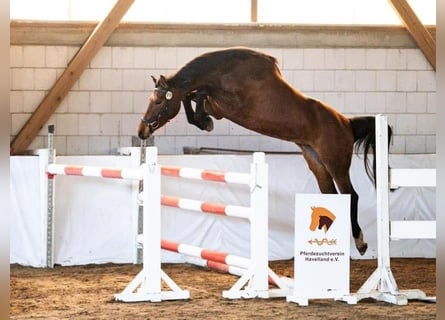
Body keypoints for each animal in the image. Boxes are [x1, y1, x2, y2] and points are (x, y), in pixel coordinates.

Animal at [137, 46, 390, 255]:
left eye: (158, 102)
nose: (141, 131)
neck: (225, 72)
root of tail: (347, 124)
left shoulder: (228, 105)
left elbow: (200, 93)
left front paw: (203, 120)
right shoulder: (218, 105)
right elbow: (194, 94)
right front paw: (202, 120)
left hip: (336, 162)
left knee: (352, 195)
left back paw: (360, 242)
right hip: (316, 162)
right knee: (333, 196)